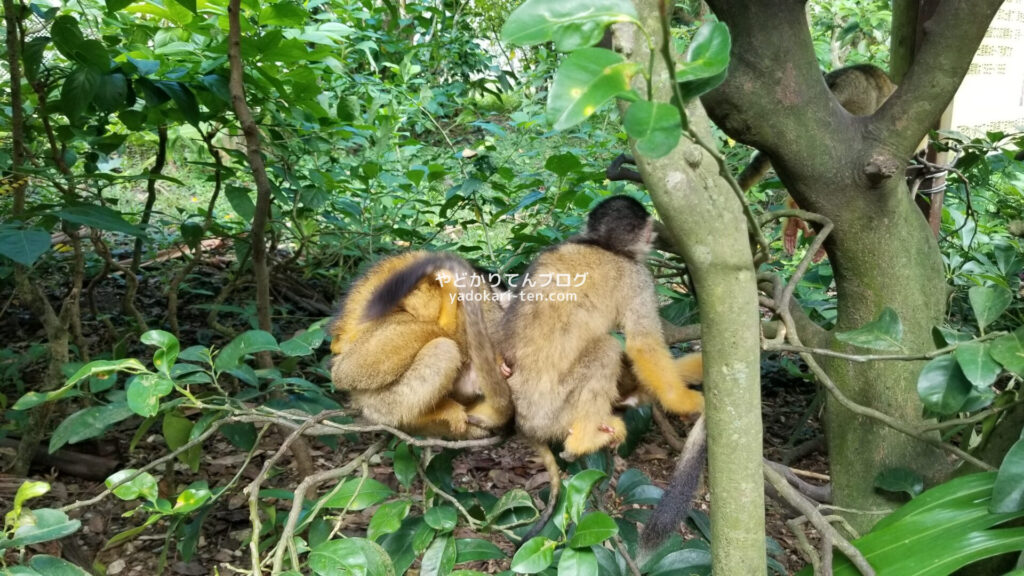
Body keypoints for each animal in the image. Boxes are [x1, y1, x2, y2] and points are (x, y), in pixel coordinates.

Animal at [501, 194, 704, 541]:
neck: (602, 245)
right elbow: (642, 344)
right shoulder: (638, 277)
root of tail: (525, 425)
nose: (654, 237)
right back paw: (584, 439)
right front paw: (682, 401)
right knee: (607, 350)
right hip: (554, 412)